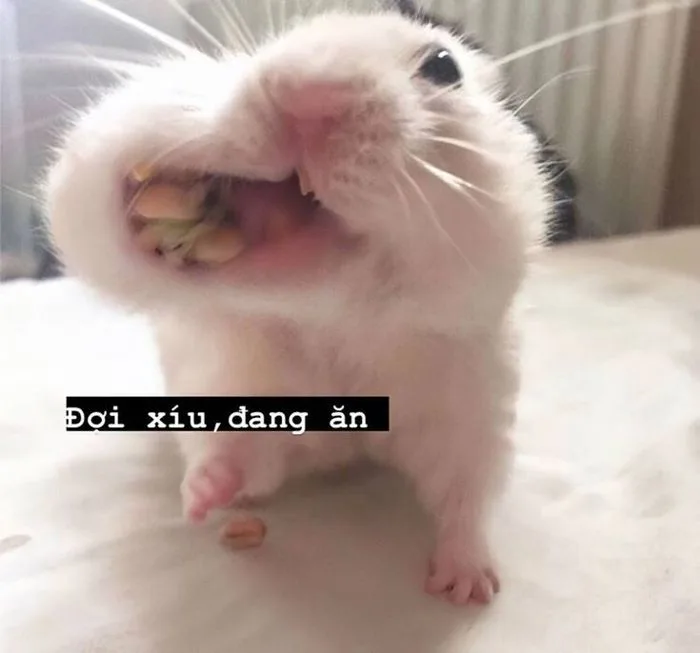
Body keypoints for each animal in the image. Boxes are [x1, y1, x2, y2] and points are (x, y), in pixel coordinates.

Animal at [43, 0, 554, 606]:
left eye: (443, 66)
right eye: (281, 40)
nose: (299, 94)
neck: (334, 321)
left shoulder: (472, 404)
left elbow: (467, 494)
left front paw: (467, 590)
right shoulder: (234, 388)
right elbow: (238, 456)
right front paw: (201, 500)